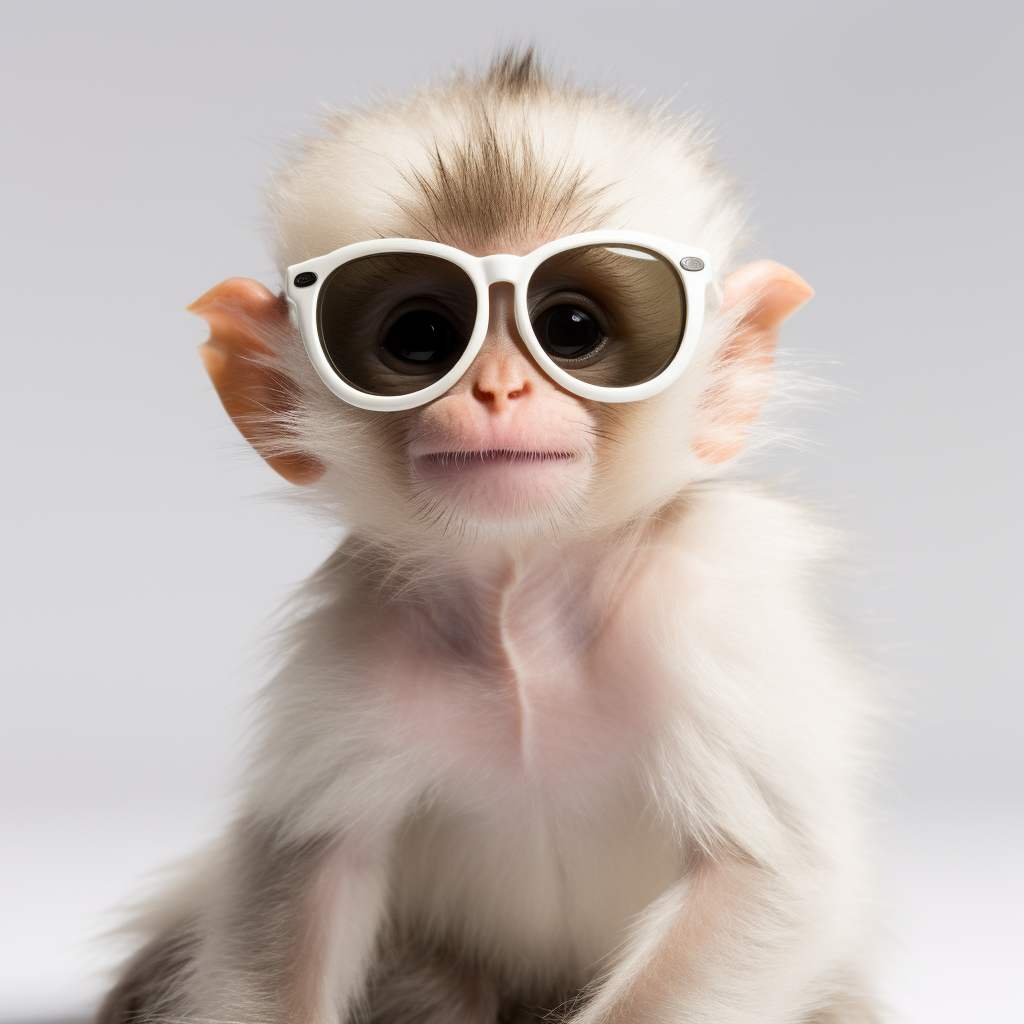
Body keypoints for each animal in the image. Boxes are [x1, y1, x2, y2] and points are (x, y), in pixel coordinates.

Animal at [105, 54, 888, 1024]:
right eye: (422, 337)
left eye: (573, 330)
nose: (500, 391)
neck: (523, 613)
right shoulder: (353, 636)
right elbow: (307, 872)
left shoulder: (709, 608)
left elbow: (767, 877)